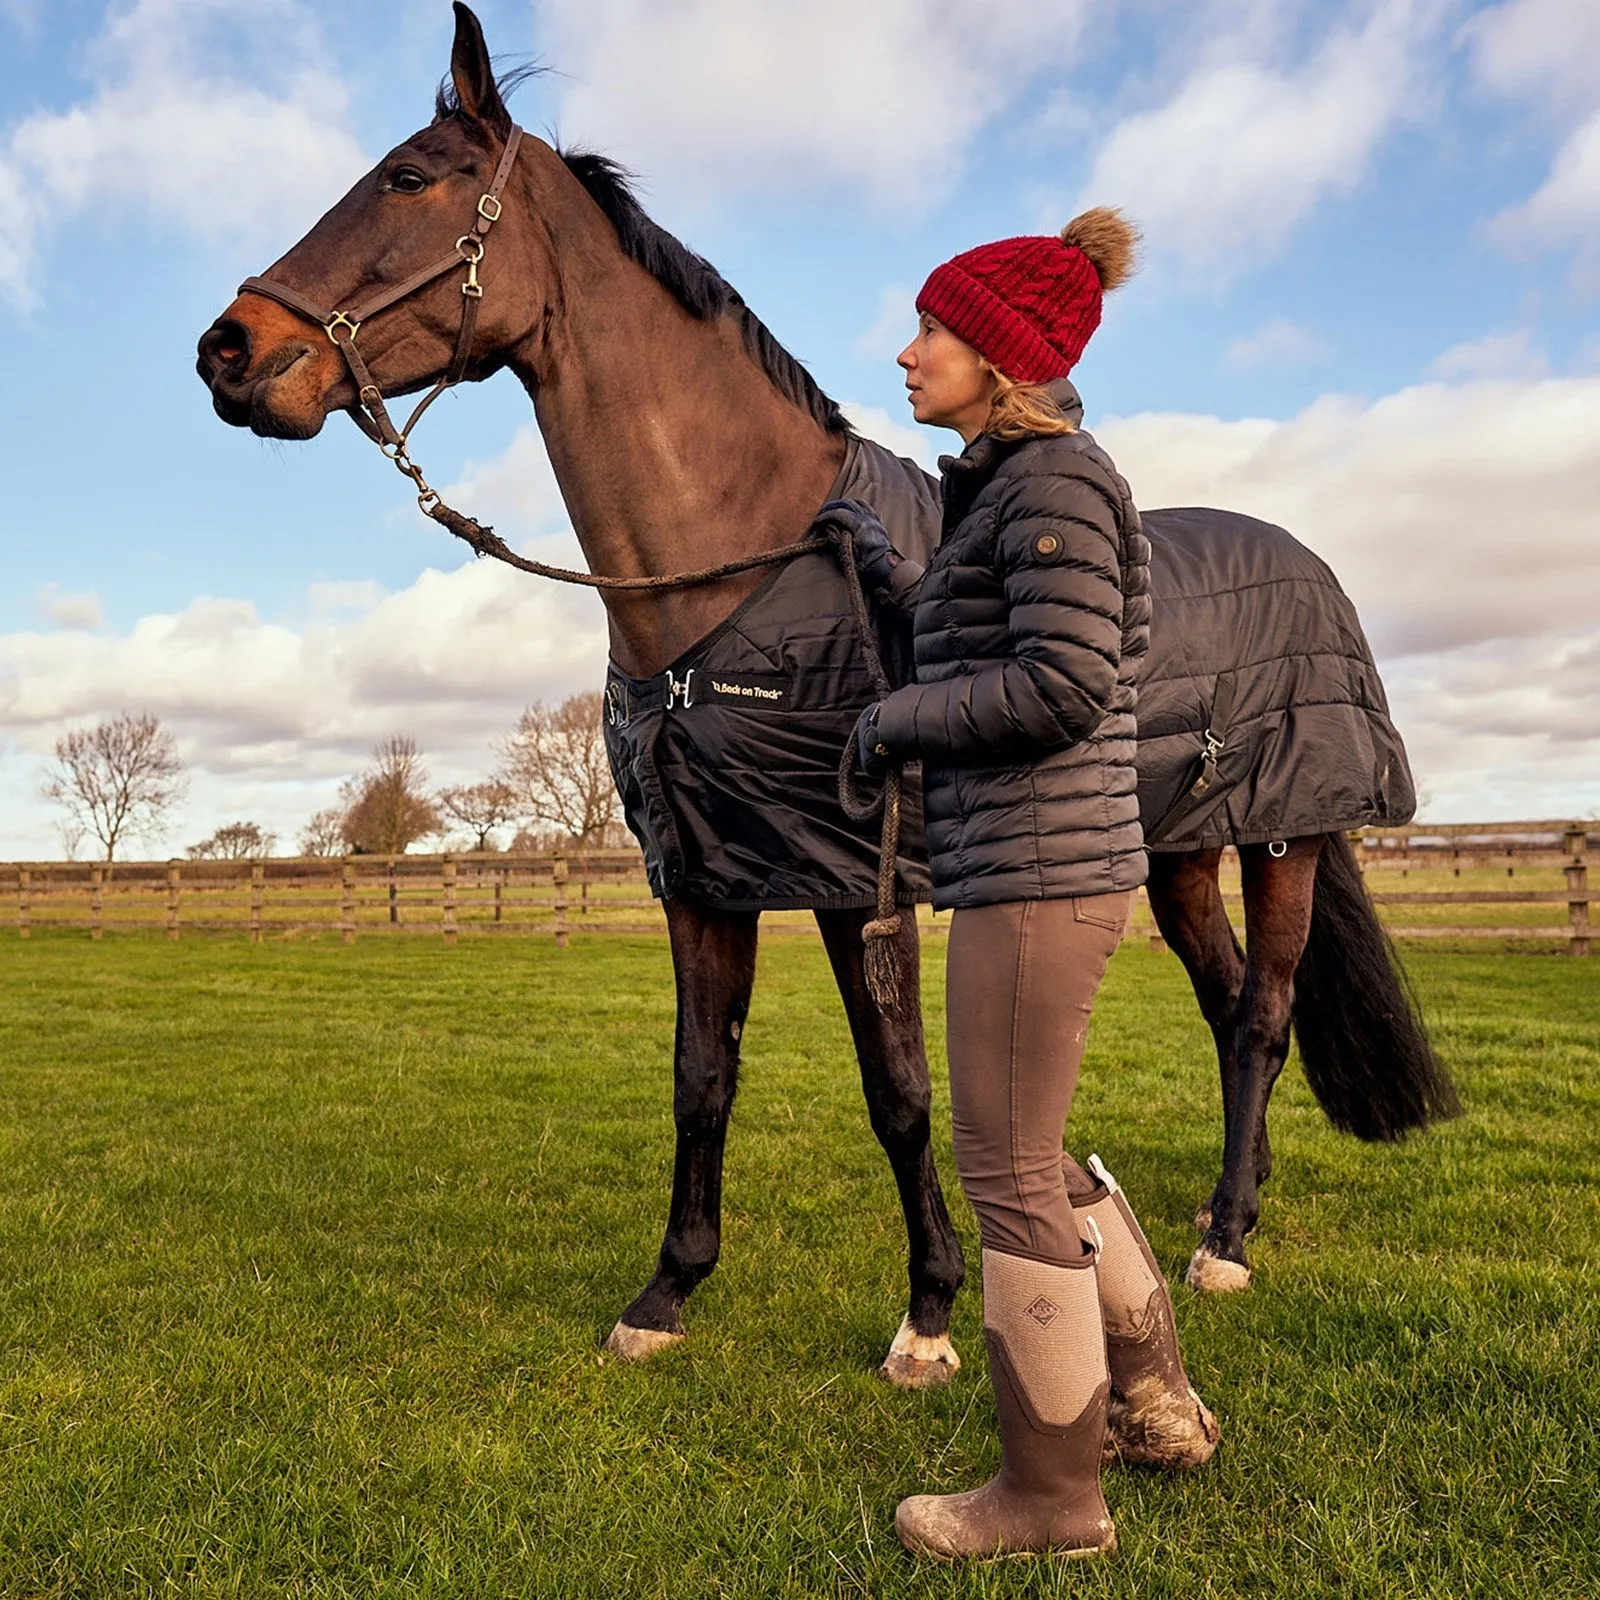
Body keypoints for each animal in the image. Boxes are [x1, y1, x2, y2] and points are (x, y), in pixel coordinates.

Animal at [193, 6, 1459, 1376]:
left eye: (408, 178)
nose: (227, 351)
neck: (741, 564)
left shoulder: (857, 879)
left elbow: (897, 1090)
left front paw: (930, 1313)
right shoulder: (704, 872)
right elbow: (701, 1076)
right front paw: (665, 1294)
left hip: (1285, 837)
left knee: (1263, 1015)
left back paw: (1223, 1239)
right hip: (1178, 849)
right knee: (1229, 1010)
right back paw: (1233, 1204)